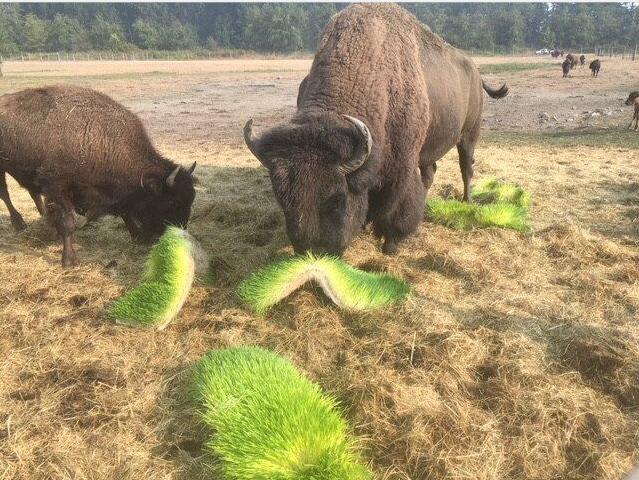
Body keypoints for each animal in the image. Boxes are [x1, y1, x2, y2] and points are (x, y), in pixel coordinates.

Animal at [0, 86, 198, 266]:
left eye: (191, 199)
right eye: (172, 202)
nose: (180, 235)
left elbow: (123, 211)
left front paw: (136, 235)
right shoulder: (56, 186)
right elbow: (69, 222)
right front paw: (69, 260)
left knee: (33, 193)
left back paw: (45, 223)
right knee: (6, 194)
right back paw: (20, 223)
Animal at [244, 3, 510, 256]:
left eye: (337, 198)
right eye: (281, 197)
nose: (313, 250)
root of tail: (476, 72)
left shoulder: (400, 170)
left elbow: (393, 208)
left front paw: (390, 245)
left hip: (469, 135)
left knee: (466, 167)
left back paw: (467, 201)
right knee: (430, 173)